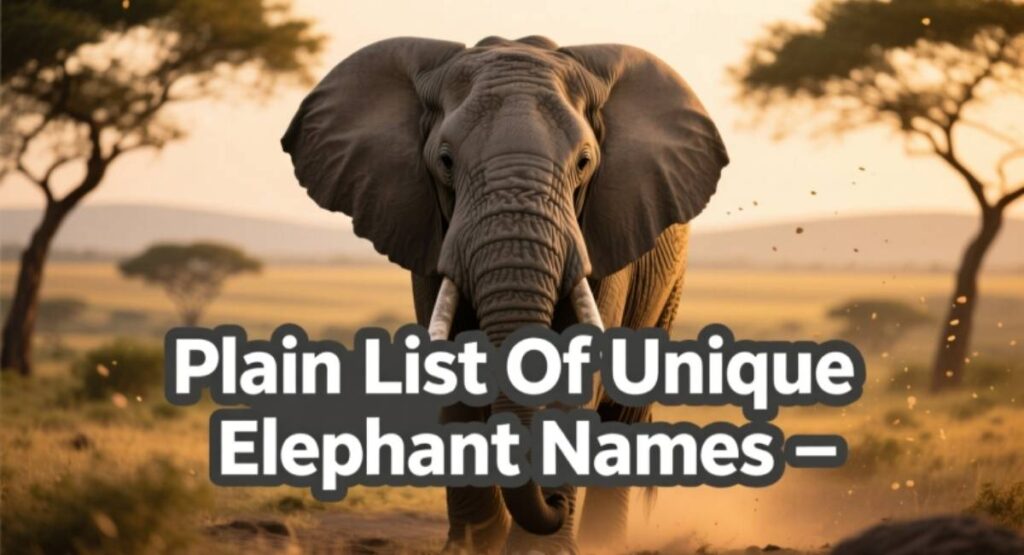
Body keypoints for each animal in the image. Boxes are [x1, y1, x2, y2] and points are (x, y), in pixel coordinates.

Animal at [282, 35, 728, 554]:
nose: (552, 505)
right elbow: (455, 375)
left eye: (584, 163)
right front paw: (472, 545)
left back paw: (603, 540)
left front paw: (538, 549)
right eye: (445, 162)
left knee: (626, 411)